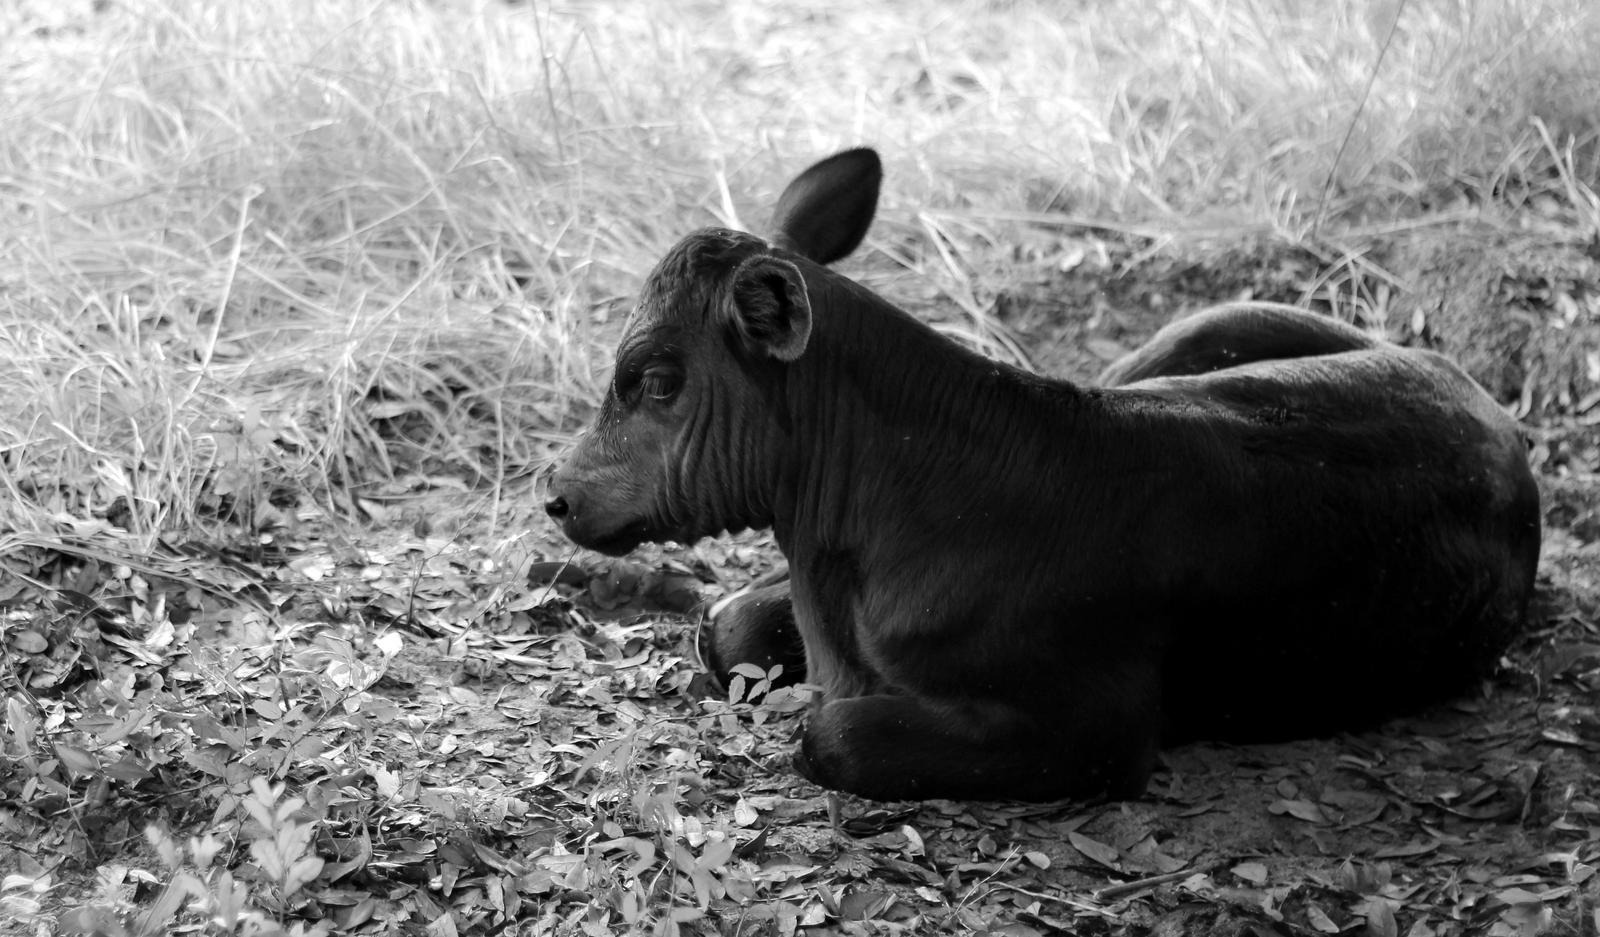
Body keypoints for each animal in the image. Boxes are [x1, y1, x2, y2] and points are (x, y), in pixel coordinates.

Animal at [544, 149, 1542, 799]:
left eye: (656, 379)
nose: (555, 493)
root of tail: (1494, 414)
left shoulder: (1096, 727)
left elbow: (830, 734)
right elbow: (729, 624)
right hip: (1200, 329)